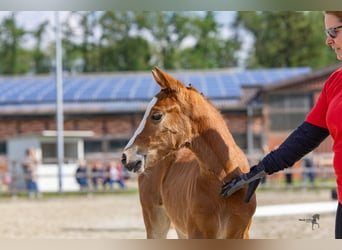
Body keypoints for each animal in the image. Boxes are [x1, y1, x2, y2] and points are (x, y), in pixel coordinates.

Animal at [121, 67, 255, 239]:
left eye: (156, 115)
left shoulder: (241, 234)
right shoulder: (197, 234)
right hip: (156, 224)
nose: (126, 157)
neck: (225, 178)